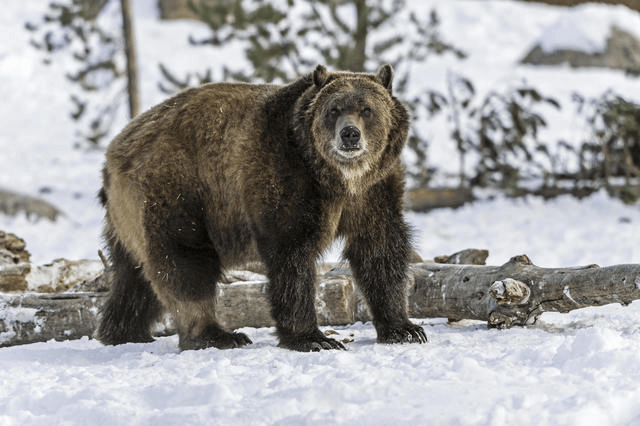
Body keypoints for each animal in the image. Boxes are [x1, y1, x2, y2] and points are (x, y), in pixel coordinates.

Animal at [97, 62, 428, 350]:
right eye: (333, 109)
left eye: (367, 110)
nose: (349, 134)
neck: (336, 177)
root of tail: (114, 150)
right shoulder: (284, 176)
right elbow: (291, 256)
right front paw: (313, 338)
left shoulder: (374, 190)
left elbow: (379, 249)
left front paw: (404, 329)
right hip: (178, 190)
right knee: (184, 261)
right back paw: (216, 334)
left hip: (129, 219)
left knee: (133, 277)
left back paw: (123, 331)